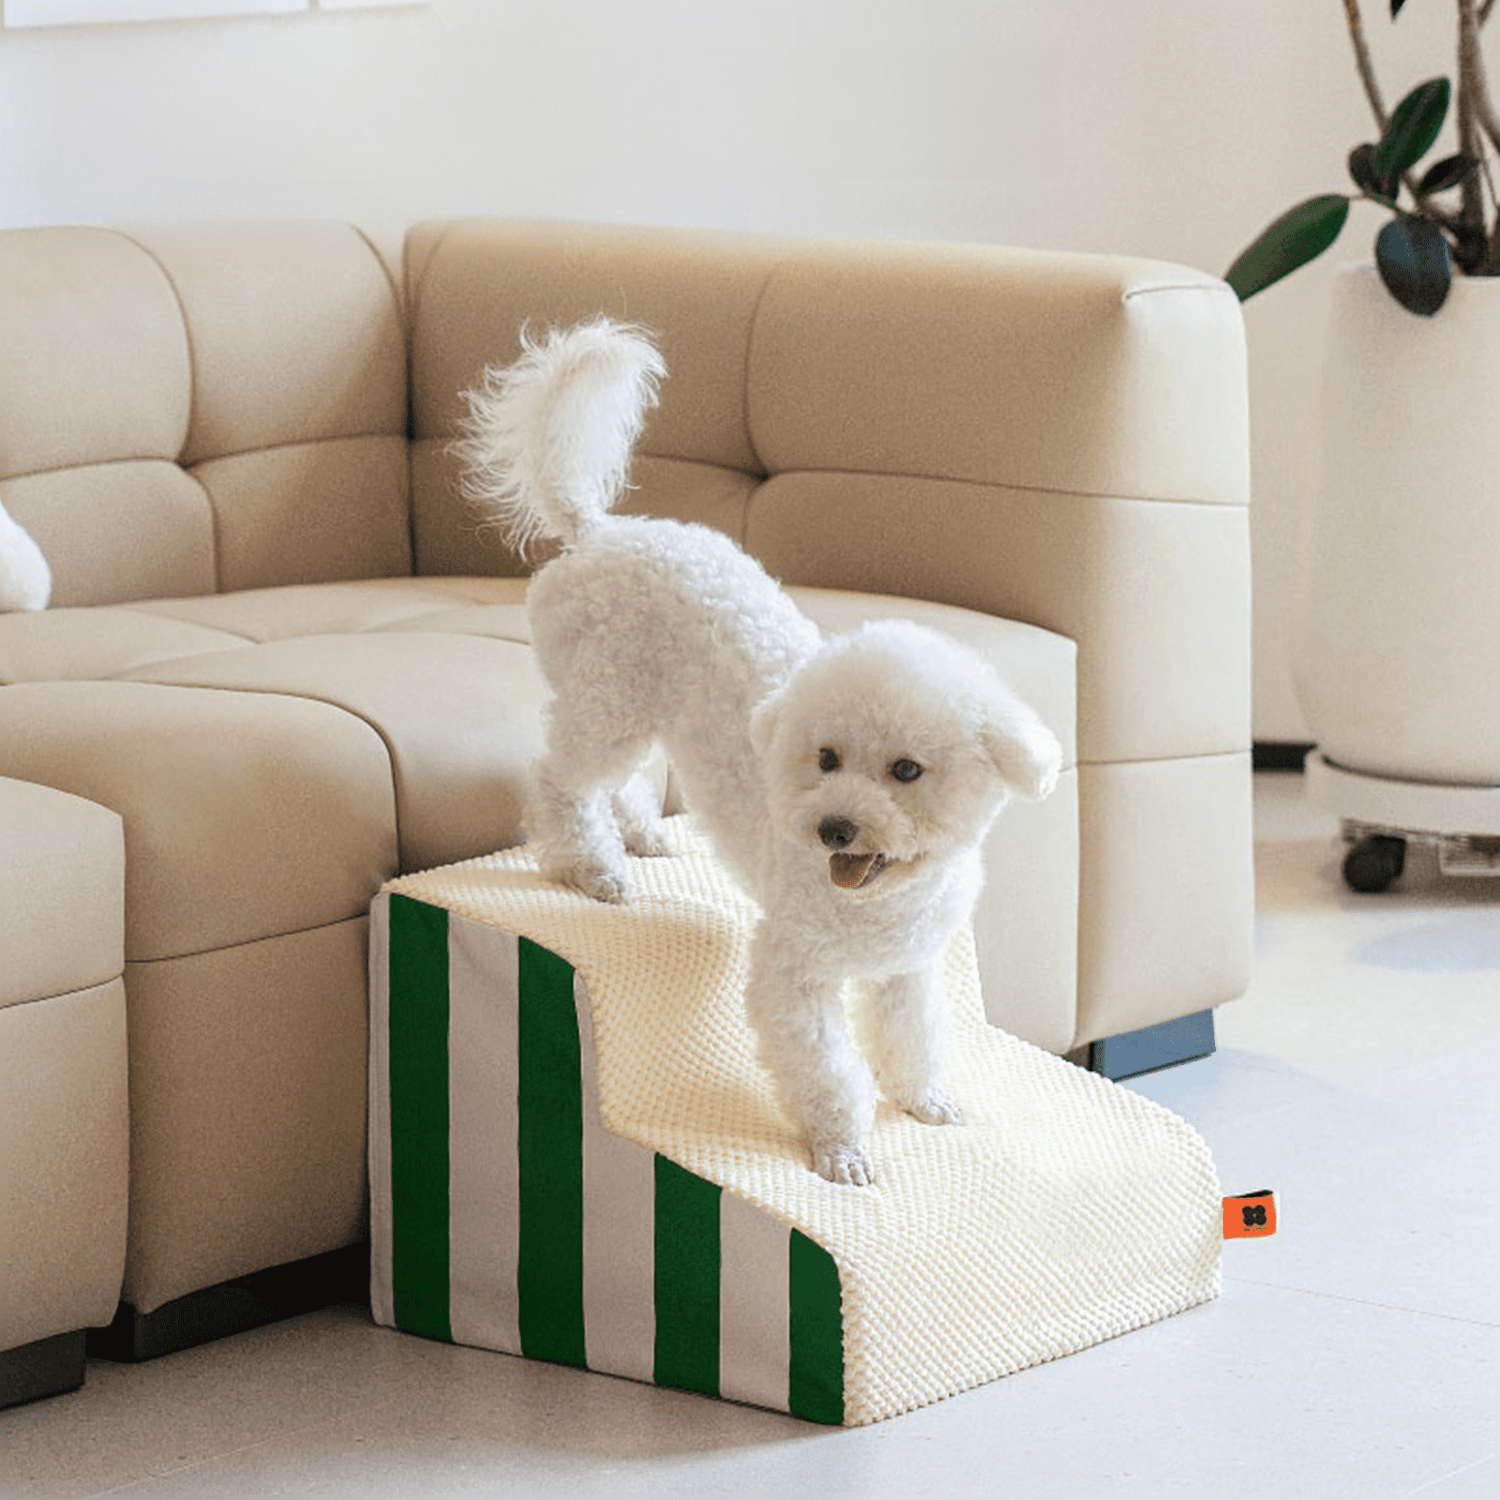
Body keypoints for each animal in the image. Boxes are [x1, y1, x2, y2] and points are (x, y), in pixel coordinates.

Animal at [456, 322, 1056, 1188]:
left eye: (906, 770)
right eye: (827, 758)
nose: (836, 828)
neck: (875, 903)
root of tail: (601, 528)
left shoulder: (907, 969)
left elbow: (913, 1036)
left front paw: (923, 1100)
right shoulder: (794, 974)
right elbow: (827, 1068)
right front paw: (841, 1152)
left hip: (644, 704)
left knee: (624, 781)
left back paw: (641, 836)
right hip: (611, 697)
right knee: (562, 780)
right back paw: (594, 868)